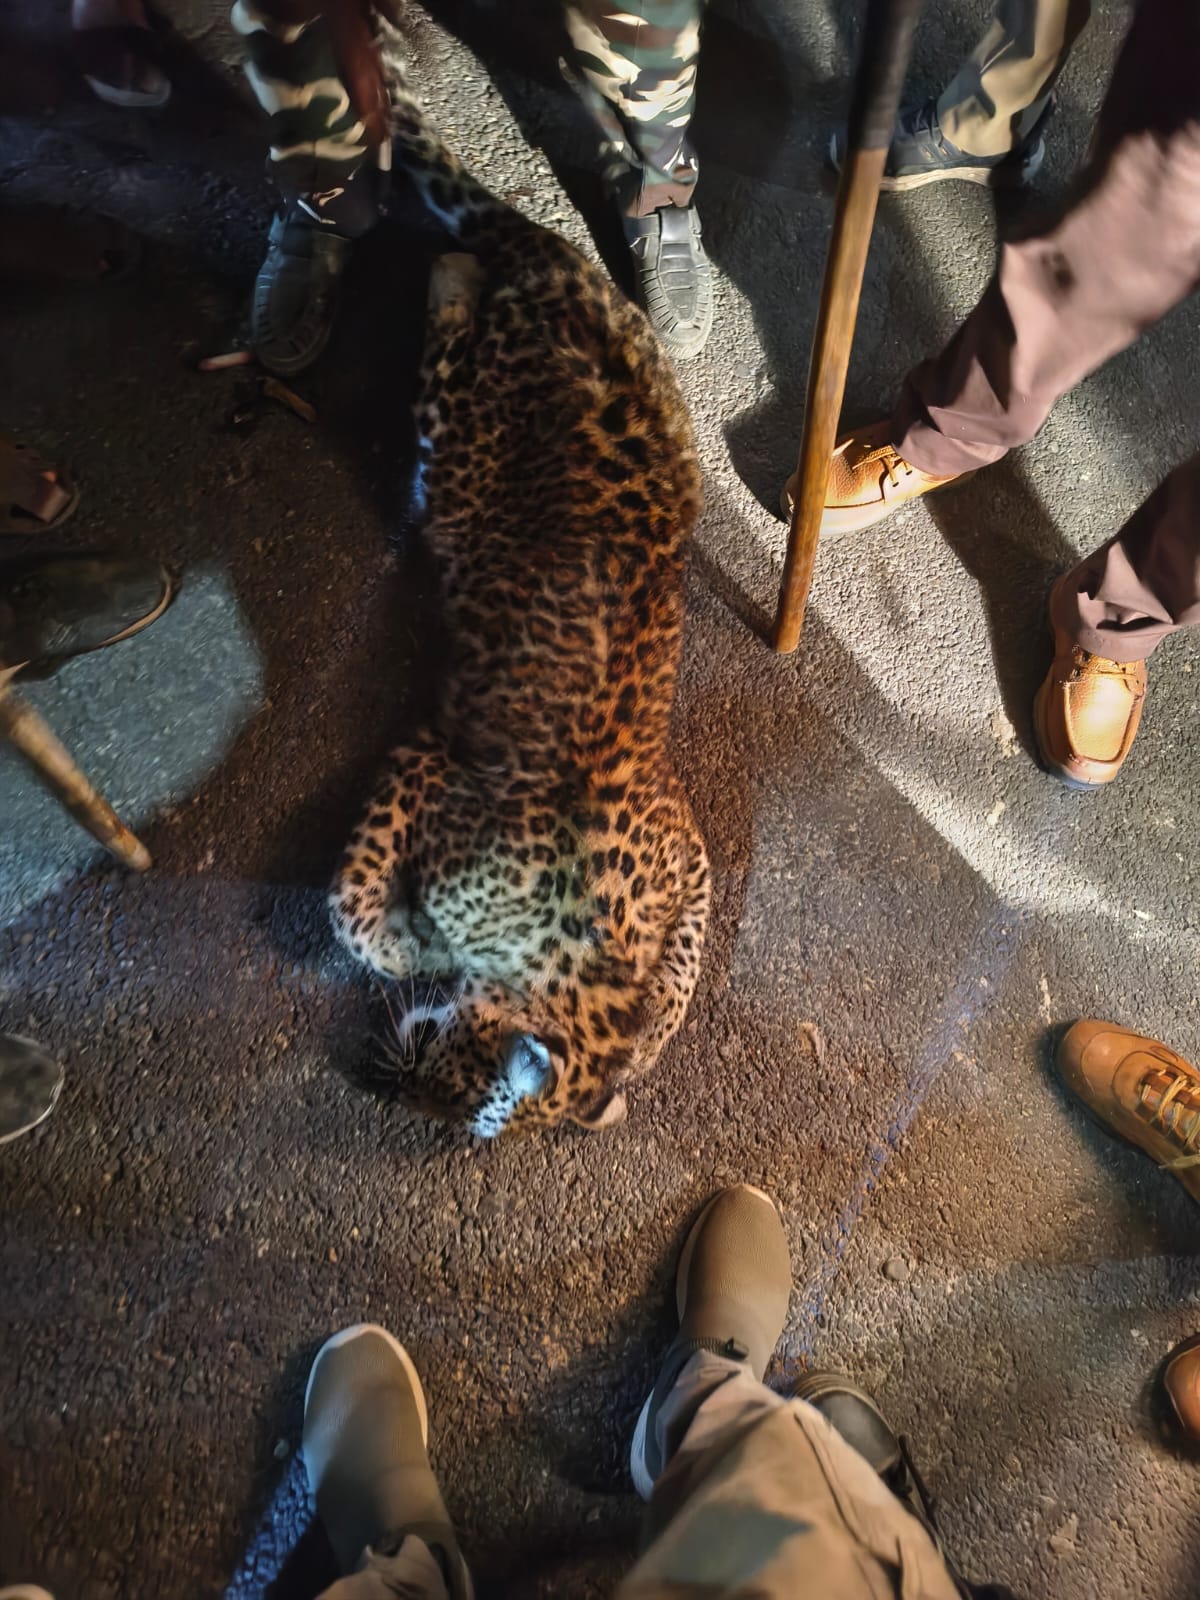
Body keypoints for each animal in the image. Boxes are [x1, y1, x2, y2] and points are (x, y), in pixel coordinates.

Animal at [330, 58, 710, 1138]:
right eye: (438, 1055)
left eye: (452, 1099)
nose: (390, 1086)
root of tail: (576, 278)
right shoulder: (429, 755)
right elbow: (353, 906)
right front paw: (401, 940)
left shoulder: (689, 848)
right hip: (466, 421)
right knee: (454, 291)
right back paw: (450, 274)